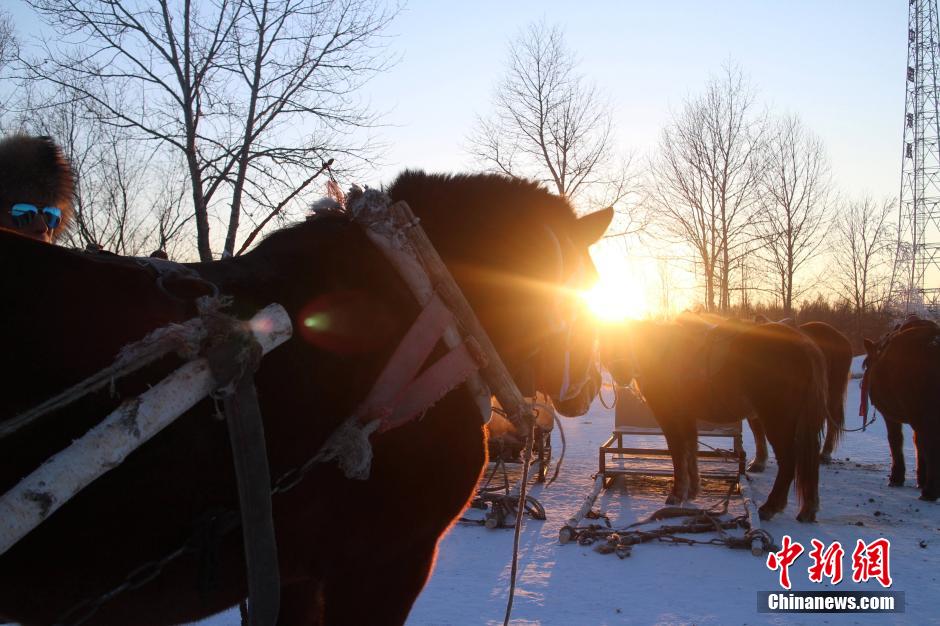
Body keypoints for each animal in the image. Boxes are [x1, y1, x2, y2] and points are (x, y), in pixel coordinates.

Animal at [604, 314, 828, 520]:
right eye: (606, 340)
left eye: (631, 340)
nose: (621, 372)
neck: (663, 353)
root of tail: (803, 344)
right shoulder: (687, 417)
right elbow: (691, 451)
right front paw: (692, 491)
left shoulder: (670, 416)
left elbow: (678, 452)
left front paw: (676, 494)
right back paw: (808, 509)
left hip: (778, 420)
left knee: (789, 460)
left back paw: (771, 506)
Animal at [744, 320, 856, 470]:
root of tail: (842, 338)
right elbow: (757, 431)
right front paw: (758, 462)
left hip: (833, 394)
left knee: (832, 423)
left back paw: (825, 454)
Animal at [864, 316, 940, 498]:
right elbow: (917, 442)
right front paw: (920, 478)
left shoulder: (892, 416)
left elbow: (896, 440)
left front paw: (897, 477)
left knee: (931, 444)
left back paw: (930, 491)